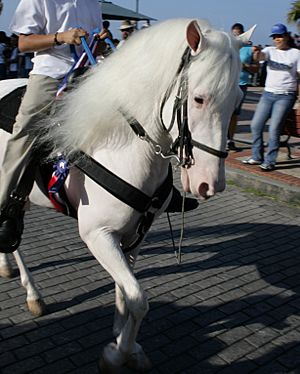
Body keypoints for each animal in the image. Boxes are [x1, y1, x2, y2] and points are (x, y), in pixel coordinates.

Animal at [0, 18, 253, 372]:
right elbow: (138, 298)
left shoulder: (135, 235)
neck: (121, 146)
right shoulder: (98, 234)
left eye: (238, 97)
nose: (210, 184)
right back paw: (32, 293)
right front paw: (116, 355)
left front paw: (125, 343)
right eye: (199, 99)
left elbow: (126, 294)